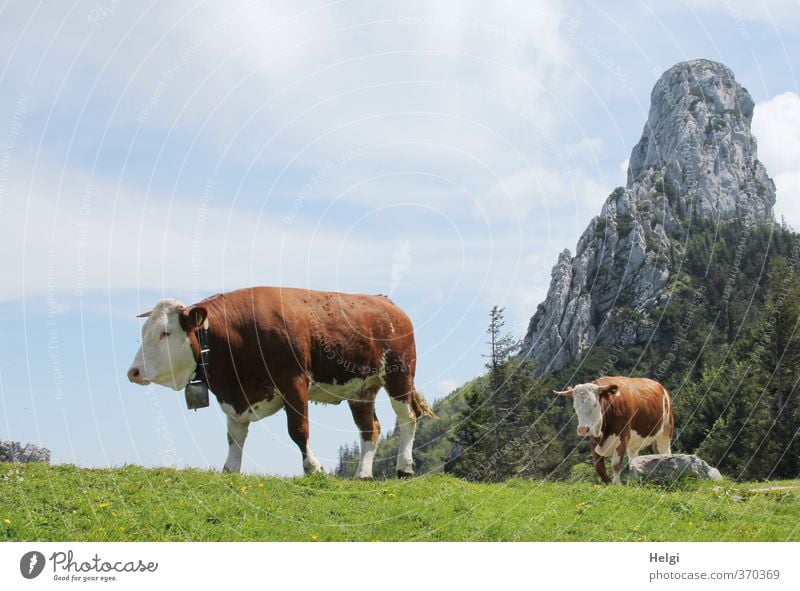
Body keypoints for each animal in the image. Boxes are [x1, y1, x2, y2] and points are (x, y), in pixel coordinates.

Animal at [127, 288, 434, 480]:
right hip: (361, 389)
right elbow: (234, 437)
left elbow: (298, 429)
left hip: (399, 375)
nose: (133, 372)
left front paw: (313, 468)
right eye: (143, 332)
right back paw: (363, 474)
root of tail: (386, 303)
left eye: (165, 333)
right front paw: (230, 469)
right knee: (369, 428)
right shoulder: (234, 397)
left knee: (408, 417)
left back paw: (404, 468)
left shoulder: (293, 381)